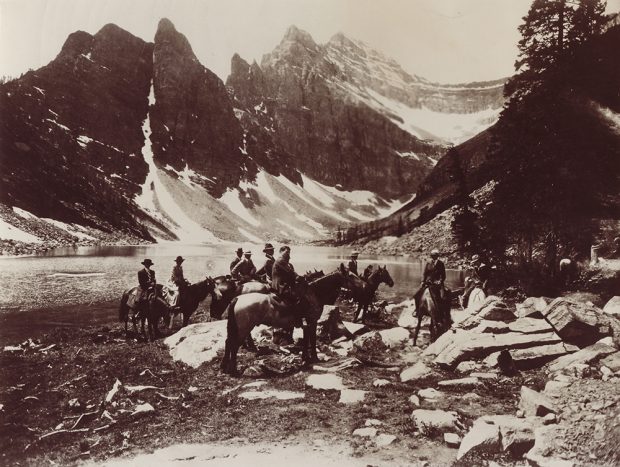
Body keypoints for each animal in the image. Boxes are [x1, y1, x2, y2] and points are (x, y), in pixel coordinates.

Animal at [222, 266, 358, 376]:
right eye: (351, 275)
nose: (362, 287)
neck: (314, 294)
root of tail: (237, 298)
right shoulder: (312, 322)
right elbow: (312, 340)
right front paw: (314, 358)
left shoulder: (307, 324)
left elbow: (306, 340)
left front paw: (305, 358)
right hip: (243, 328)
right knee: (234, 345)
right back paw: (233, 370)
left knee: (228, 342)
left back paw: (224, 367)